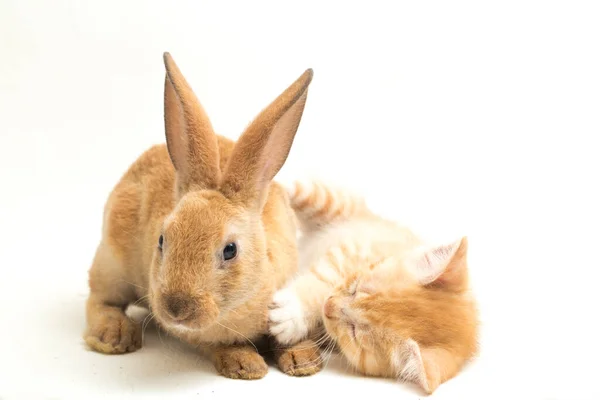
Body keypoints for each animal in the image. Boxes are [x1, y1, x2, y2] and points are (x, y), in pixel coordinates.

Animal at [84, 52, 318, 378]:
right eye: (161, 241)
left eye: (230, 250)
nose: (176, 308)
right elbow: (220, 345)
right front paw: (246, 365)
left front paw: (304, 361)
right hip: (112, 263)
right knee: (99, 299)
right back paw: (114, 336)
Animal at [268, 180, 478, 394]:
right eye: (355, 289)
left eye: (354, 331)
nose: (328, 306)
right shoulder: (351, 251)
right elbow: (323, 279)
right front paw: (293, 312)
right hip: (333, 205)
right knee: (303, 191)